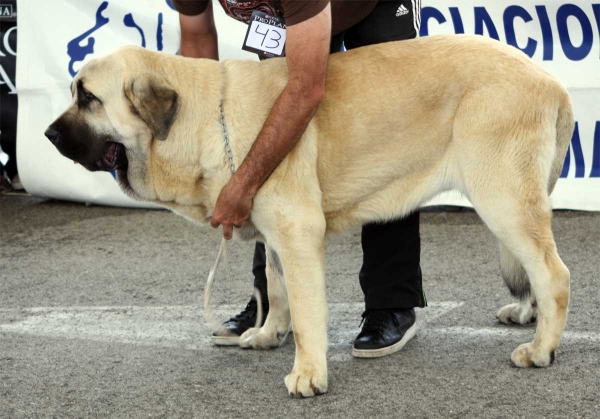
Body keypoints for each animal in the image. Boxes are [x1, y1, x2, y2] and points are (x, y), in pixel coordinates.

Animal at [44, 34, 576, 398]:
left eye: (88, 97)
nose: (47, 135)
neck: (207, 117)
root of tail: (552, 82)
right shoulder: (274, 234)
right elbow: (275, 286)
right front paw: (267, 333)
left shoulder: (298, 232)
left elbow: (305, 311)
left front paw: (308, 373)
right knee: (534, 270)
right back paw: (525, 316)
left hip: (501, 198)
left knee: (553, 273)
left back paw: (541, 350)